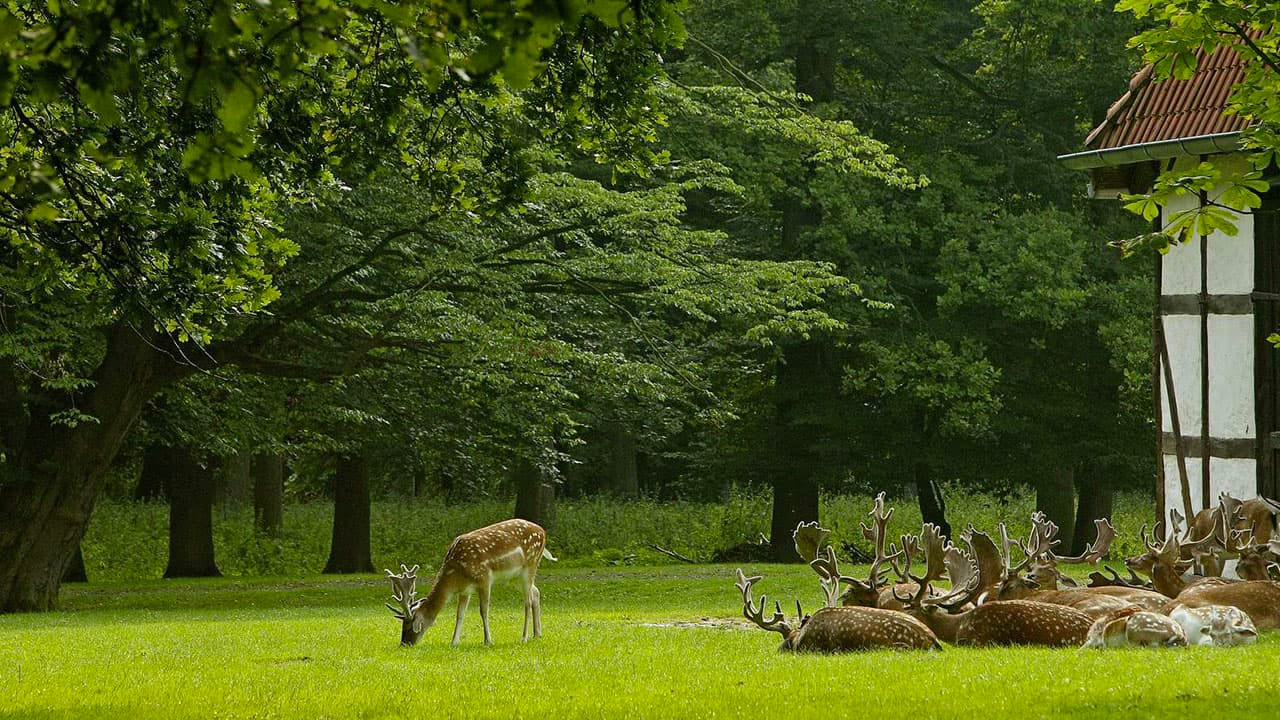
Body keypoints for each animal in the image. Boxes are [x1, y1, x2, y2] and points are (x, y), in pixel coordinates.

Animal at [385, 518, 555, 647]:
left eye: (409, 627)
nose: (404, 644)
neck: (456, 574)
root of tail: (543, 532)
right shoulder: (465, 590)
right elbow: (460, 614)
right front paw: (454, 642)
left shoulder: (484, 578)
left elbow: (483, 610)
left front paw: (488, 640)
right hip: (514, 577)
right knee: (536, 592)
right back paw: (537, 634)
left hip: (531, 564)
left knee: (527, 601)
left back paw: (524, 637)